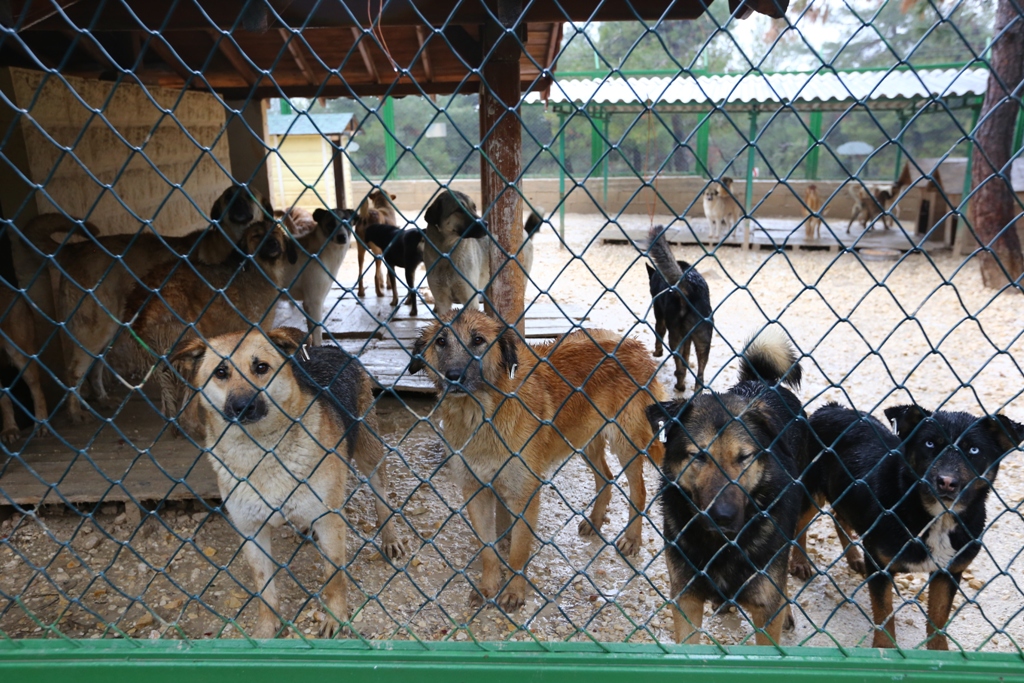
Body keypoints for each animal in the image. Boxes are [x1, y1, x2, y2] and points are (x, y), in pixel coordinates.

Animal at [172, 325, 403, 634]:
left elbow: (334, 577)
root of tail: (328, 347)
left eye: (261, 367)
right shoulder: (251, 531)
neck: (262, 451)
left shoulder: (330, 521)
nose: (243, 406)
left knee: (381, 497)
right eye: (220, 372)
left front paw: (335, 618)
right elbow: (264, 590)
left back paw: (389, 537)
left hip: (369, 451)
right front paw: (267, 630)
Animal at [411, 309, 667, 610]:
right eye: (441, 341)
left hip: (626, 442)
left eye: (478, 340)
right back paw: (594, 521)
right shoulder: (476, 491)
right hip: (584, 439)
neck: (481, 415)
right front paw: (487, 587)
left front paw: (513, 592)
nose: (453, 376)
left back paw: (632, 538)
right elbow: (488, 549)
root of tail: (636, 345)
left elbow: (518, 551)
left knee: (639, 489)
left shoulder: (524, 494)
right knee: (606, 477)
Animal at [647, 225, 712, 393]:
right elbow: (686, 356)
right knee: (700, 375)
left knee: (680, 366)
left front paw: (657, 353)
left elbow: (658, 335)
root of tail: (690, 287)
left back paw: (680, 386)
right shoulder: (687, 338)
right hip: (704, 341)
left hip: (675, 336)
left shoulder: (660, 318)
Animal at [647, 329, 806, 647]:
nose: (723, 516)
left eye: (743, 457)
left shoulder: (765, 611)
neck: (722, 544)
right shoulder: (686, 600)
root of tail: (762, 382)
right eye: (699, 456)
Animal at [811, 403, 1019, 651]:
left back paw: (853, 557)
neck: (938, 518)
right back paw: (799, 564)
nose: (946, 482)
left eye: (974, 450)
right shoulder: (880, 565)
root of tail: (830, 407)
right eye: (929, 443)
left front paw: (939, 652)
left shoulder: (948, 571)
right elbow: (884, 614)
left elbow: (938, 618)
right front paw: (884, 649)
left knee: (837, 516)